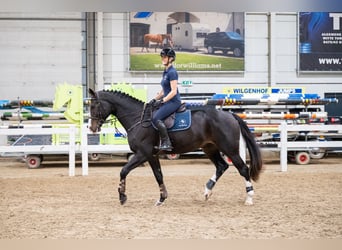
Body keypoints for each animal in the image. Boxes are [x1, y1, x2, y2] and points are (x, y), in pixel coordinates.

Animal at [87, 89, 262, 206]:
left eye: (95, 105)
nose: (92, 128)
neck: (138, 119)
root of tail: (229, 114)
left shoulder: (143, 154)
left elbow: (123, 171)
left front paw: (122, 196)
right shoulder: (152, 155)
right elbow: (159, 175)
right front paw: (162, 198)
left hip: (229, 148)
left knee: (242, 169)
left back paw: (249, 197)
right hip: (210, 148)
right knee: (221, 166)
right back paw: (207, 191)